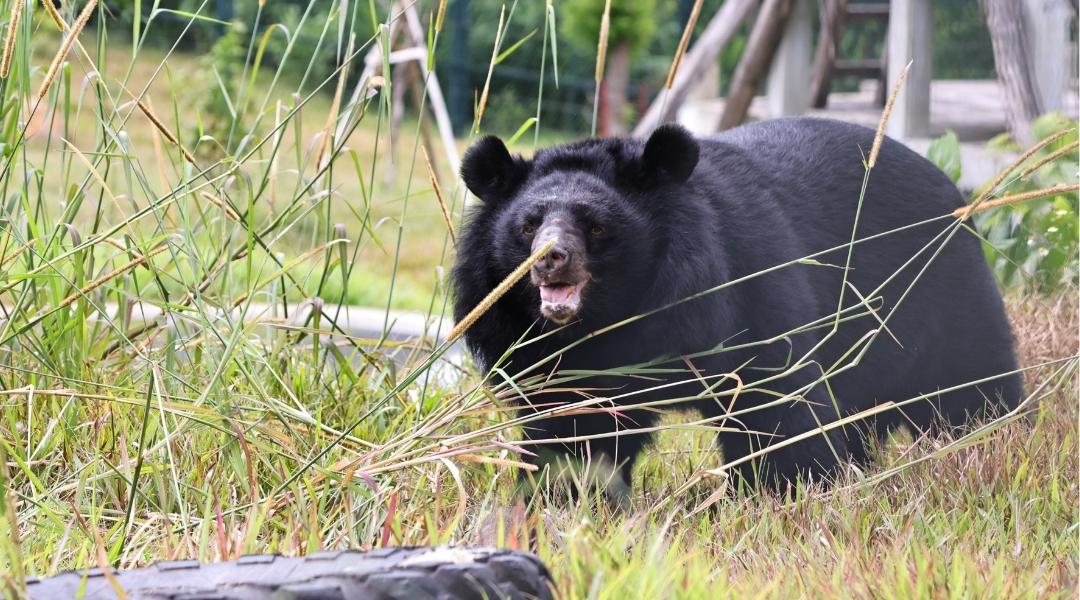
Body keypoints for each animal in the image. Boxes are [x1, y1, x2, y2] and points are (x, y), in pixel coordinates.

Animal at [451, 117, 1023, 493]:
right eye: (529, 225)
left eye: (595, 226)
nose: (552, 260)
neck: (616, 317)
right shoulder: (550, 353)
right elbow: (574, 426)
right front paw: (564, 495)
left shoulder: (748, 292)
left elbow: (777, 403)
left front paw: (789, 490)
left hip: (939, 292)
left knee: (969, 379)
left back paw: (993, 441)